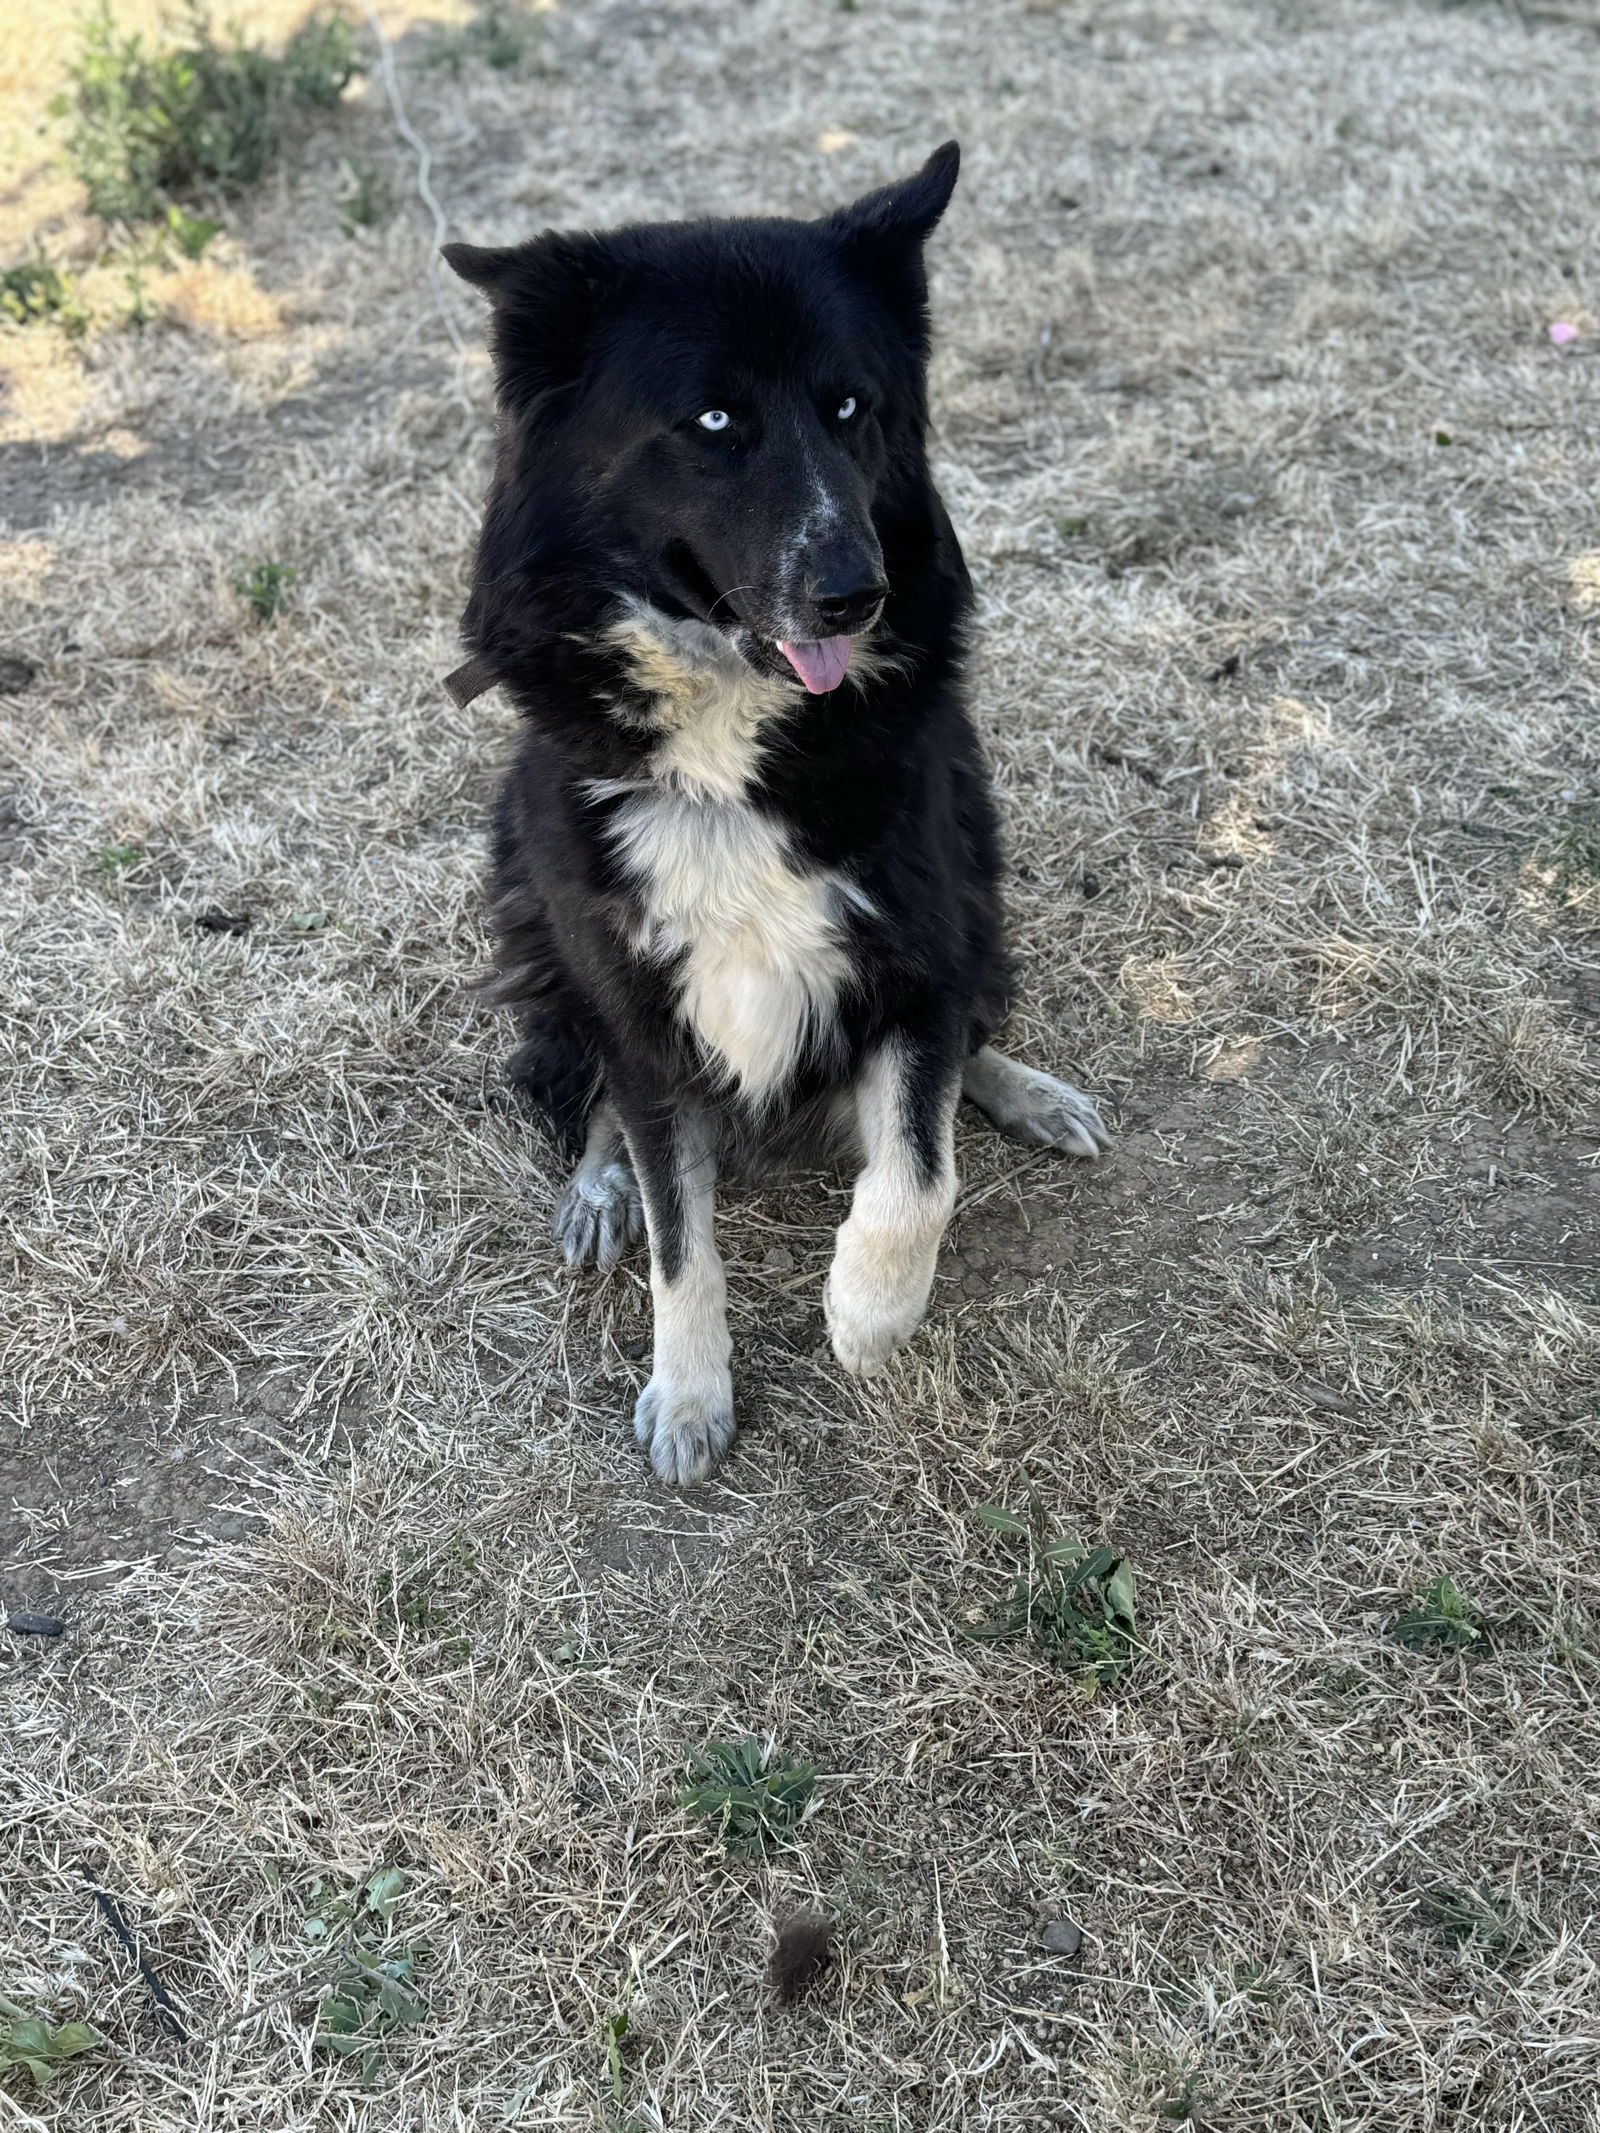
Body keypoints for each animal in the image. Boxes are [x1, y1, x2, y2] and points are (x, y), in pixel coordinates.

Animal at [445, 137, 1109, 1484]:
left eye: (852, 407)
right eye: (713, 422)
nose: (858, 592)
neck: (730, 747)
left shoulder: (915, 941)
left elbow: (919, 1164)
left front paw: (868, 1312)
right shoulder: (639, 1003)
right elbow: (676, 1234)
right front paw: (691, 1392)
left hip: (981, 880)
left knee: (973, 1029)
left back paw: (1025, 1090)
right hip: (532, 909)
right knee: (590, 1094)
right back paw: (597, 1186)